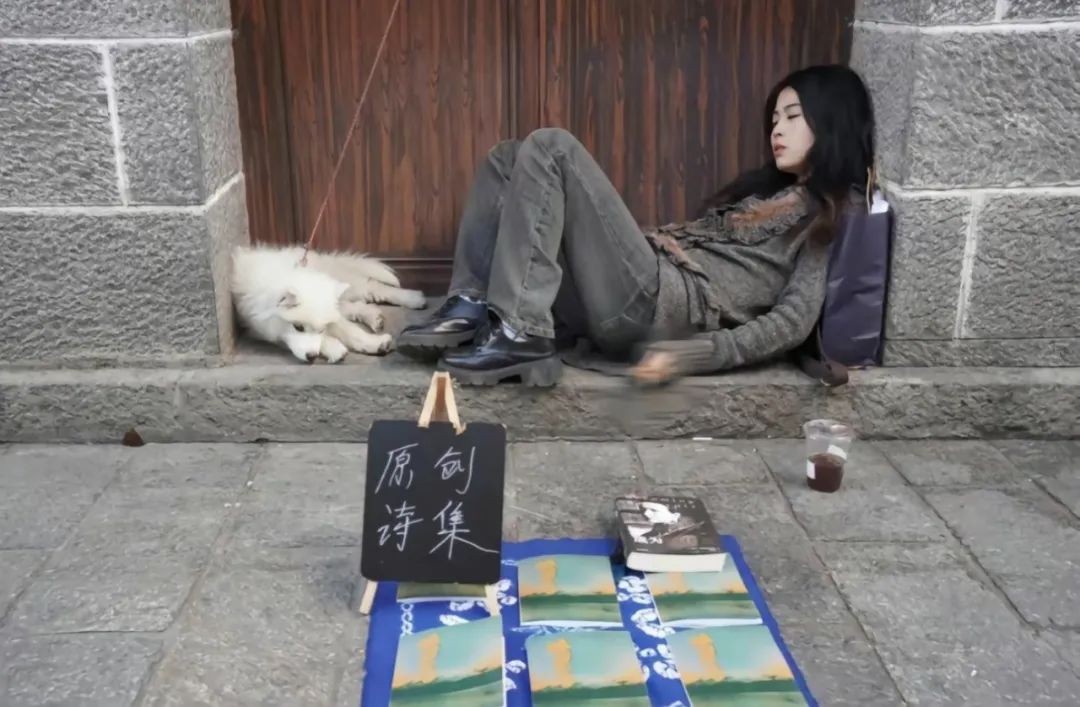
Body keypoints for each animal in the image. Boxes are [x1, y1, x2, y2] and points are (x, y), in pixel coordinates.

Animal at [231, 244, 427, 362]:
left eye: (320, 329)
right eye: (298, 327)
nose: (311, 357)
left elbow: (349, 330)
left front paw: (373, 343)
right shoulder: (258, 326)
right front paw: (334, 348)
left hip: (346, 286)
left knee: (372, 287)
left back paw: (413, 297)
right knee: (357, 306)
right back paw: (374, 317)